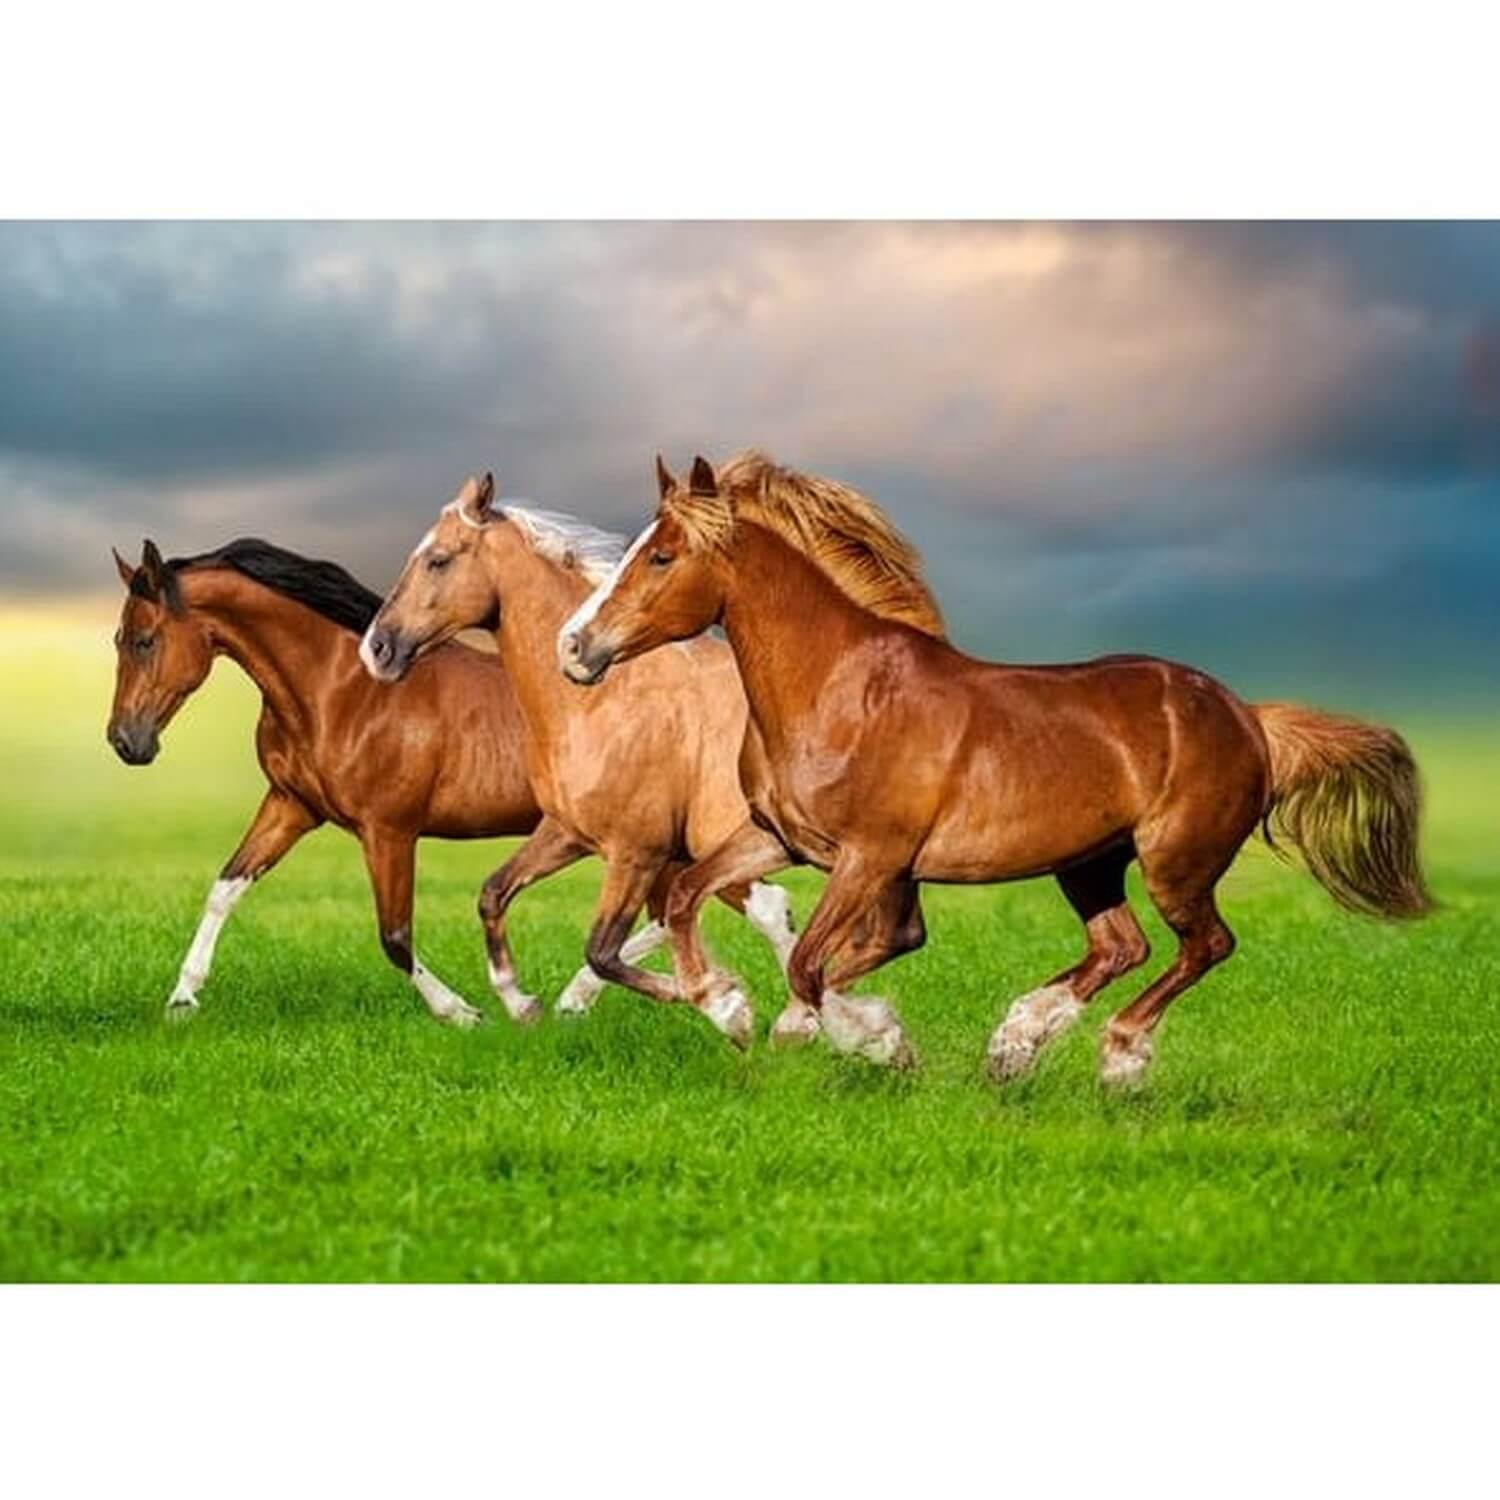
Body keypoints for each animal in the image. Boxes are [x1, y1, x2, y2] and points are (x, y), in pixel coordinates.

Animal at [106, 535, 614, 1025]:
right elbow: (225, 888)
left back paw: (568, 999)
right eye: (118, 639)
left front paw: (462, 1012)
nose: (124, 741)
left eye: (145, 641)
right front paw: (182, 1000)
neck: (344, 694)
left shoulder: (388, 831)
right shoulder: (291, 806)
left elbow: (395, 936)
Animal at [358, 475, 801, 1049]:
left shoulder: (637, 850)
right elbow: (494, 894)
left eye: (437, 560)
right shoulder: (569, 831)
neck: (601, 700)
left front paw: (728, 1006)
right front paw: (521, 1004)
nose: (377, 648)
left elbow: (603, 949)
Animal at [558, 451, 1433, 1084]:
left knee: (1204, 946)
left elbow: (814, 964)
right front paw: (728, 1005)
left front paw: (868, 1039)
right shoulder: (784, 840)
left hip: (1175, 863)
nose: (575, 647)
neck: (838, 689)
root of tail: (1250, 717)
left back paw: (1118, 1058)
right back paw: (1015, 1043)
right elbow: (691, 897)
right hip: (1089, 863)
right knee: (1121, 947)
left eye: (662, 556)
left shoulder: (871, 857)